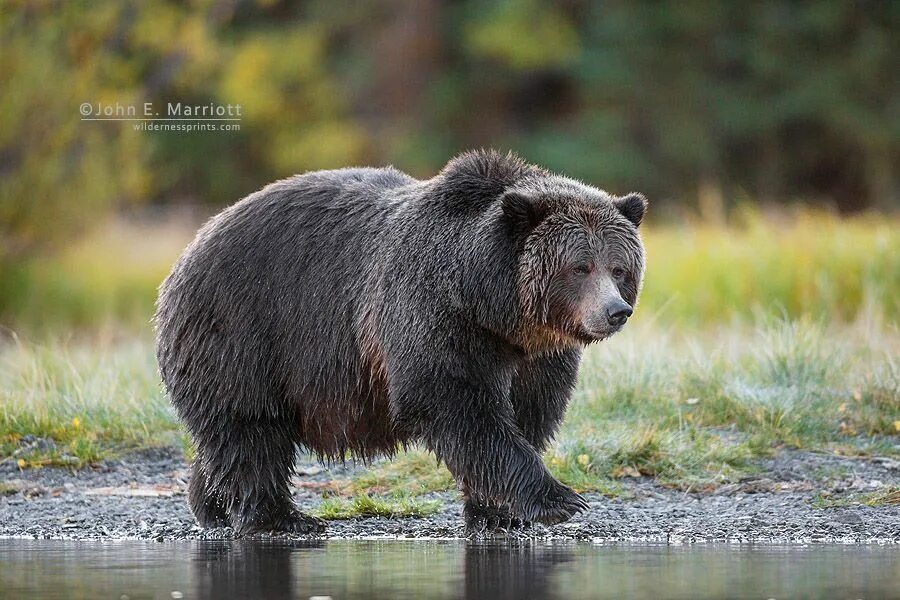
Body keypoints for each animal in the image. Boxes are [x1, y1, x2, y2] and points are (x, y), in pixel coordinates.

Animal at [155, 150, 648, 536]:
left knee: (231, 435)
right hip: (243, 327)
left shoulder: (536, 355)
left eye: (619, 267)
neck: (493, 305)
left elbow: (530, 410)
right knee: (251, 427)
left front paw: (497, 511)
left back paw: (211, 504)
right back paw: (280, 518)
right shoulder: (431, 312)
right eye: (580, 267)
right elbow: (454, 401)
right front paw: (560, 500)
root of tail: (192, 244)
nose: (615, 311)